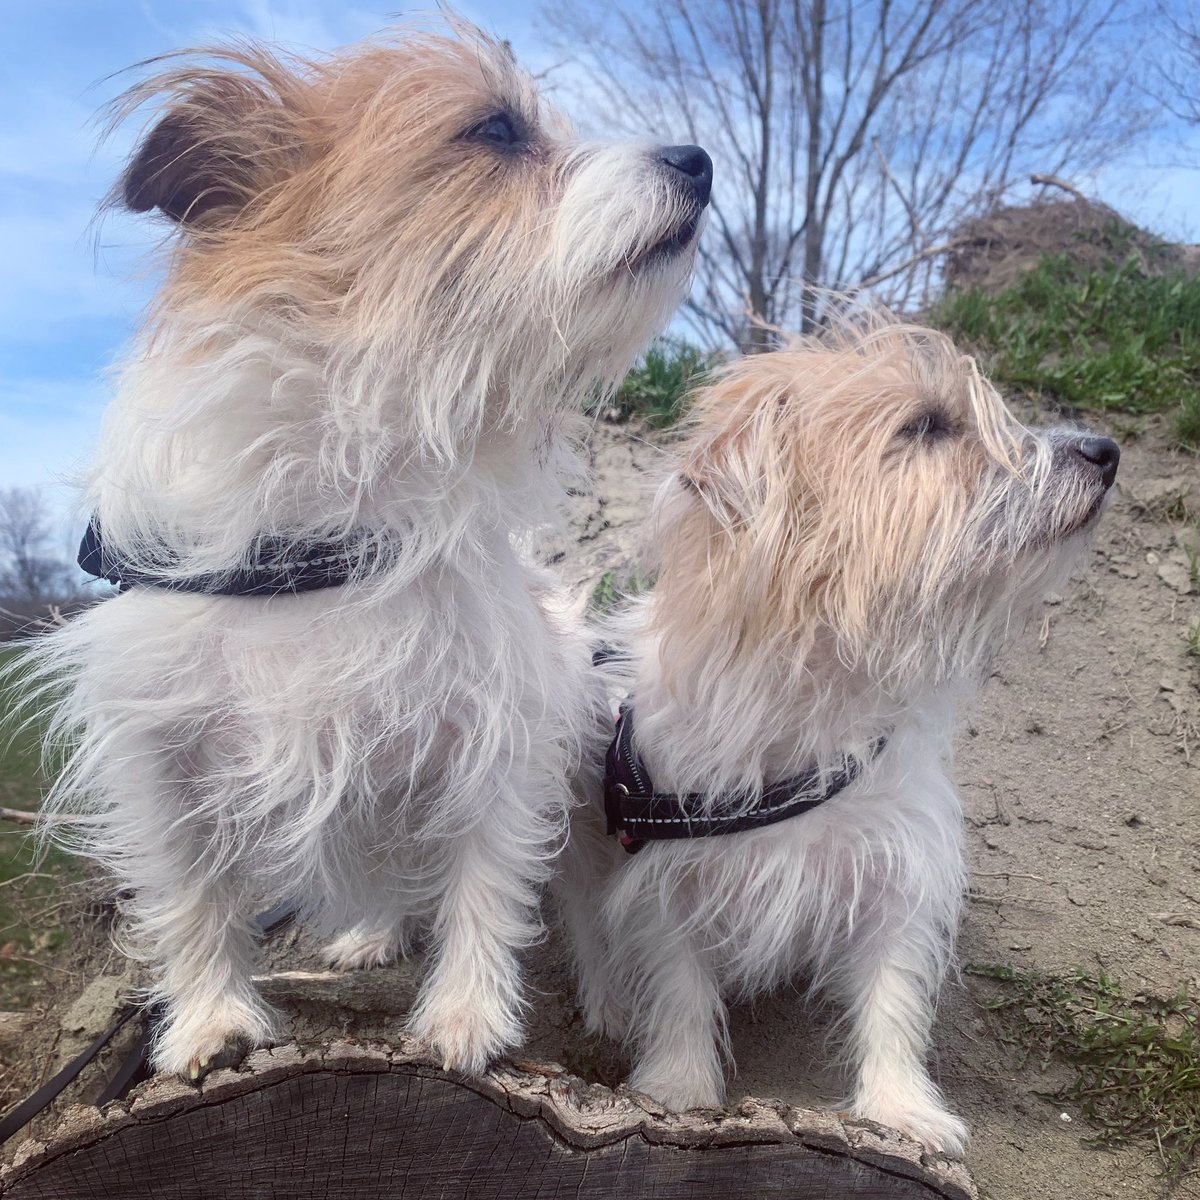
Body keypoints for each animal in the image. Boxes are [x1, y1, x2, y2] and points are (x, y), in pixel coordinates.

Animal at [30, 25, 710, 1080]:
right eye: (496, 130)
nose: (702, 159)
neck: (340, 525)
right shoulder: (159, 748)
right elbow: (189, 894)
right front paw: (208, 1019)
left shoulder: (502, 732)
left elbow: (486, 881)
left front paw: (468, 1016)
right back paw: (370, 933)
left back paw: (599, 1000)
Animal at [556, 316, 1118, 1152]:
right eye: (927, 426)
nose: (1106, 450)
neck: (819, 699)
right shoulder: (667, 876)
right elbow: (680, 985)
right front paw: (679, 1086)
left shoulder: (897, 872)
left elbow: (892, 1000)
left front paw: (901, 1109)